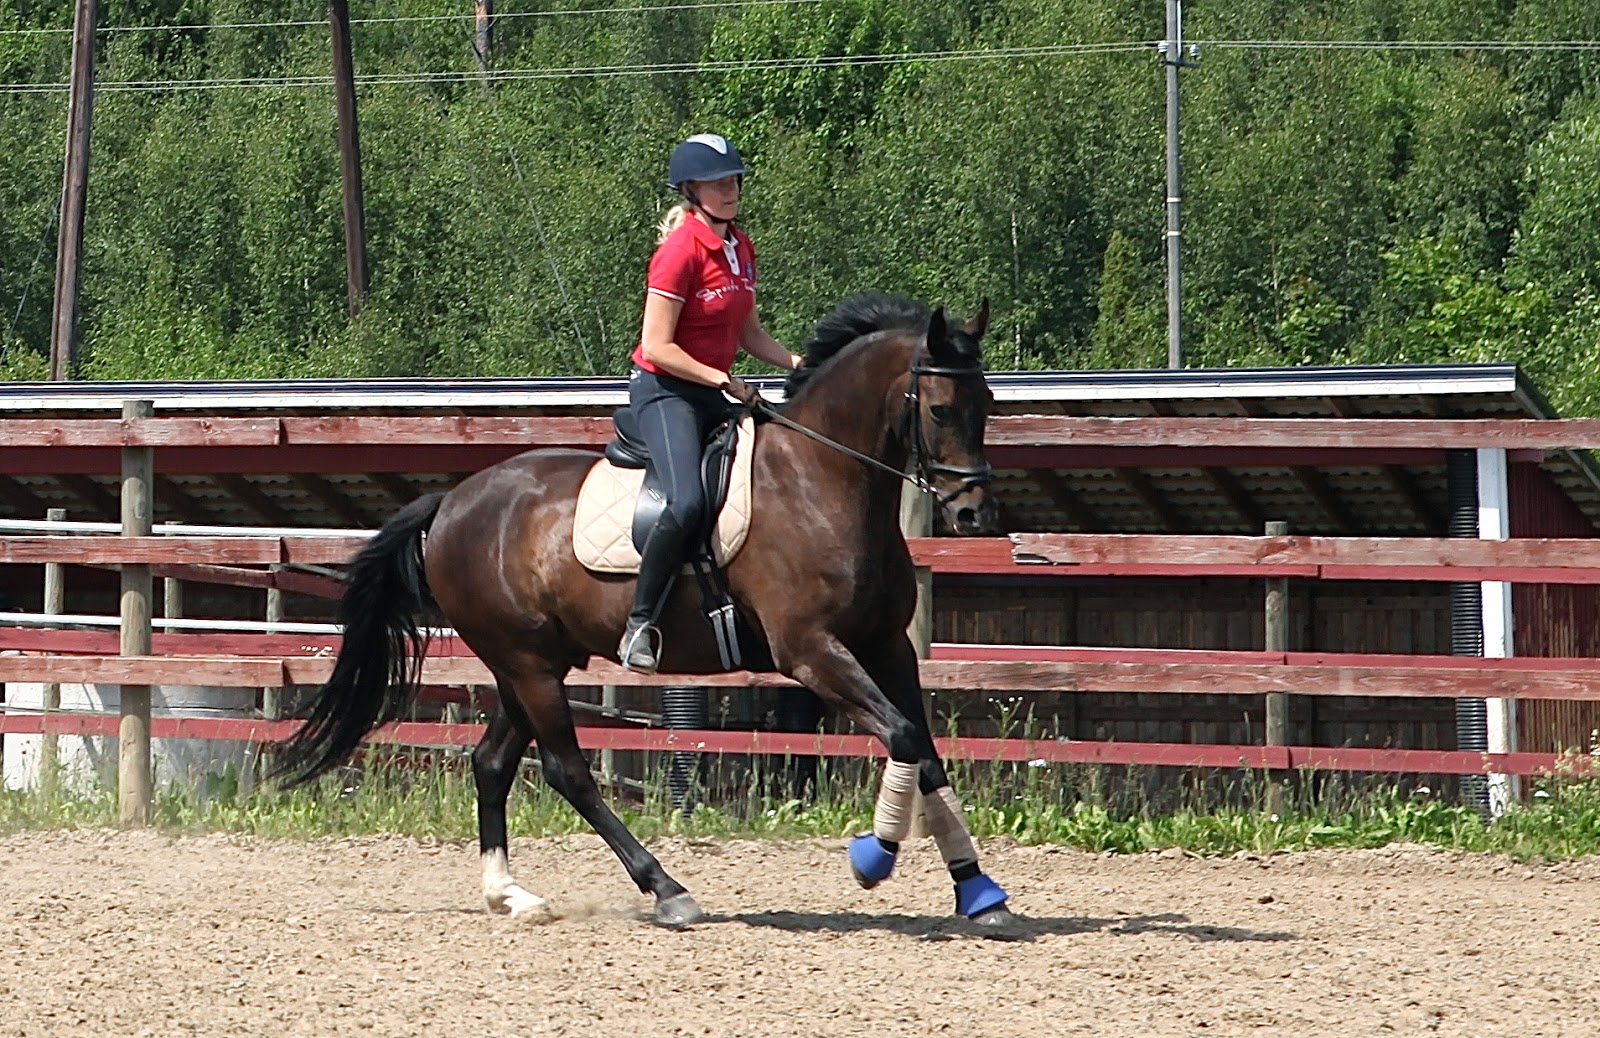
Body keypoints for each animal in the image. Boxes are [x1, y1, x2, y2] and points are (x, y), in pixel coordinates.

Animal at [271, 293, 1014, 928]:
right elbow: (904, 736)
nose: (974, 514)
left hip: (531, 665)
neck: (821, 480)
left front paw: (978, 891)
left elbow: (926, 749)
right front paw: (874, 857)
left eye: (986, 402)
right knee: (568, 772)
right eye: (941, 409)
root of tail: (450, 503)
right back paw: (666, 889)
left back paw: (511, 895)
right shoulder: (812, 651)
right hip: (526, 663)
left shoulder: (887, 646)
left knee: (492, 763)